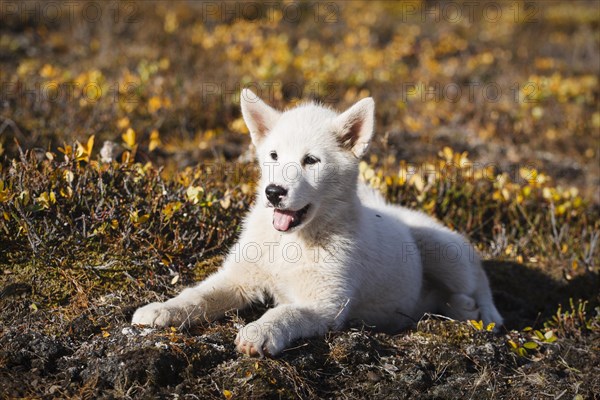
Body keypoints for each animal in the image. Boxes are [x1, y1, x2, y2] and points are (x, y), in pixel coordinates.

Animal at [132, 90, 502, 356]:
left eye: (311, 160)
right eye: (273, 155)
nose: (273, 192)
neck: (290, 243)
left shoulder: (326, 305)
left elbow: (284, 313)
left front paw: (258, 332)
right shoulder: (239, 278)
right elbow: (199, 294)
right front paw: (162, 310)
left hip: (442, 249)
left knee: (479, 279)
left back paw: (484, 314)